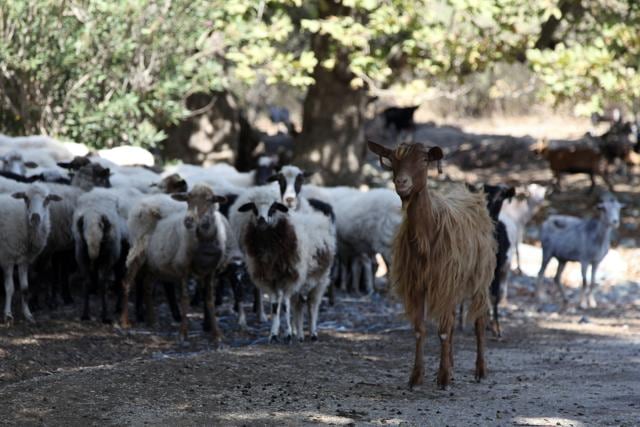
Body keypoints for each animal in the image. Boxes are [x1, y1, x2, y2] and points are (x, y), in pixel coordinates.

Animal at [0, 184, 62, 324]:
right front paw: (8, 315)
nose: (35, 218)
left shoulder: (24, 260)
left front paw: (28, 315)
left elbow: (25, 288)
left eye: (47, 199)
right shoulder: (7, 257)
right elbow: (10, 288)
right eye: (25, 198)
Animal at [119, 185, 232, 343]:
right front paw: (183, 332)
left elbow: (210, 300)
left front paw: (216, 334)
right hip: (138, 249)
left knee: (147, 286)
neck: (204, 242)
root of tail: (144, 201)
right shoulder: (183, 265)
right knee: (127, 282)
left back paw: (152, 321)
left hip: (155, 262)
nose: (188, 221)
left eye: (210, 199)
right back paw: (124, 321)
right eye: (188, 199)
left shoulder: (211, 270)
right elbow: (184, 299)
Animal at [231, 186, 336, 342]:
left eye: (273, 207)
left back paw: (312, 333)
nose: (262, 220)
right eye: (254, 208)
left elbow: (285, 305)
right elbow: (275, 306)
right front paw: (274, 334)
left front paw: (287, 334)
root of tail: (318, 217)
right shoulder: (270, 279)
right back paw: (299, 334)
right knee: (299, 304)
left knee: (312, 305)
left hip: (320, 279)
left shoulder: (289, 277)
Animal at [368, 141, 495, 390]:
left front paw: (443, 378)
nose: (402, 182)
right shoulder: (417, 284)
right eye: (392, 160)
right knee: (454, 319)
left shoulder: (443, 281)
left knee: (479, 320)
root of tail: (471, 195)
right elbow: (420, 329)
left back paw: (480, 370)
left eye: (424, 160)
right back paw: (454, 366)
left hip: (479, 277)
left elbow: (443, 331)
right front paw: (417, 377)